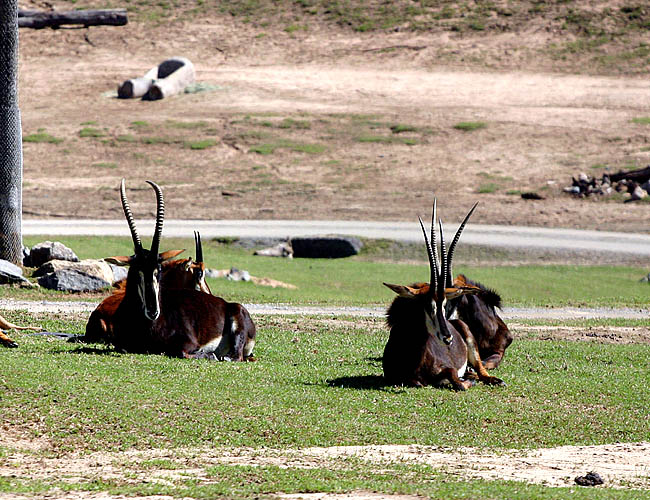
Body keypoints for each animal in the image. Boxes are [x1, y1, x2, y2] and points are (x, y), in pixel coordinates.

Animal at [93, 180, 256, 360]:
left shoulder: (189, 344)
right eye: (137, 270)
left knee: (235, 356)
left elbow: (183, 352)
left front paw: (210, 355)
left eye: (158, 270)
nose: (153, 311)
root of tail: (227, 304)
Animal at [382, 200, 504, 390]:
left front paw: (466, 381)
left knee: (481, 370)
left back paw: (491, 379)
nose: (448, 338)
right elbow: (417, 382)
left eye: (445, 304)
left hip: (472, 346)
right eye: (428, 305)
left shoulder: (449, 367)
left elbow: (456, 380)